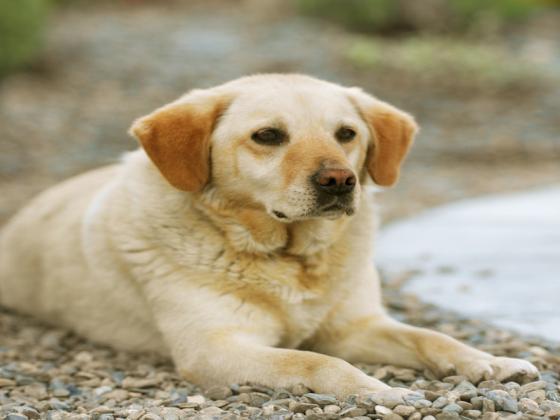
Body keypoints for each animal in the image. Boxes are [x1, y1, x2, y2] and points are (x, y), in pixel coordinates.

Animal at [0, 74, 540, 398]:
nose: (340, 180)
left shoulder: (355, 326)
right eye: (267, 136)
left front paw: (486, 361)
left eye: (346, 133)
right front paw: (380, 390)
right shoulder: (217, 348)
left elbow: (430, 336)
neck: (291, 258)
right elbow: (319, 364)